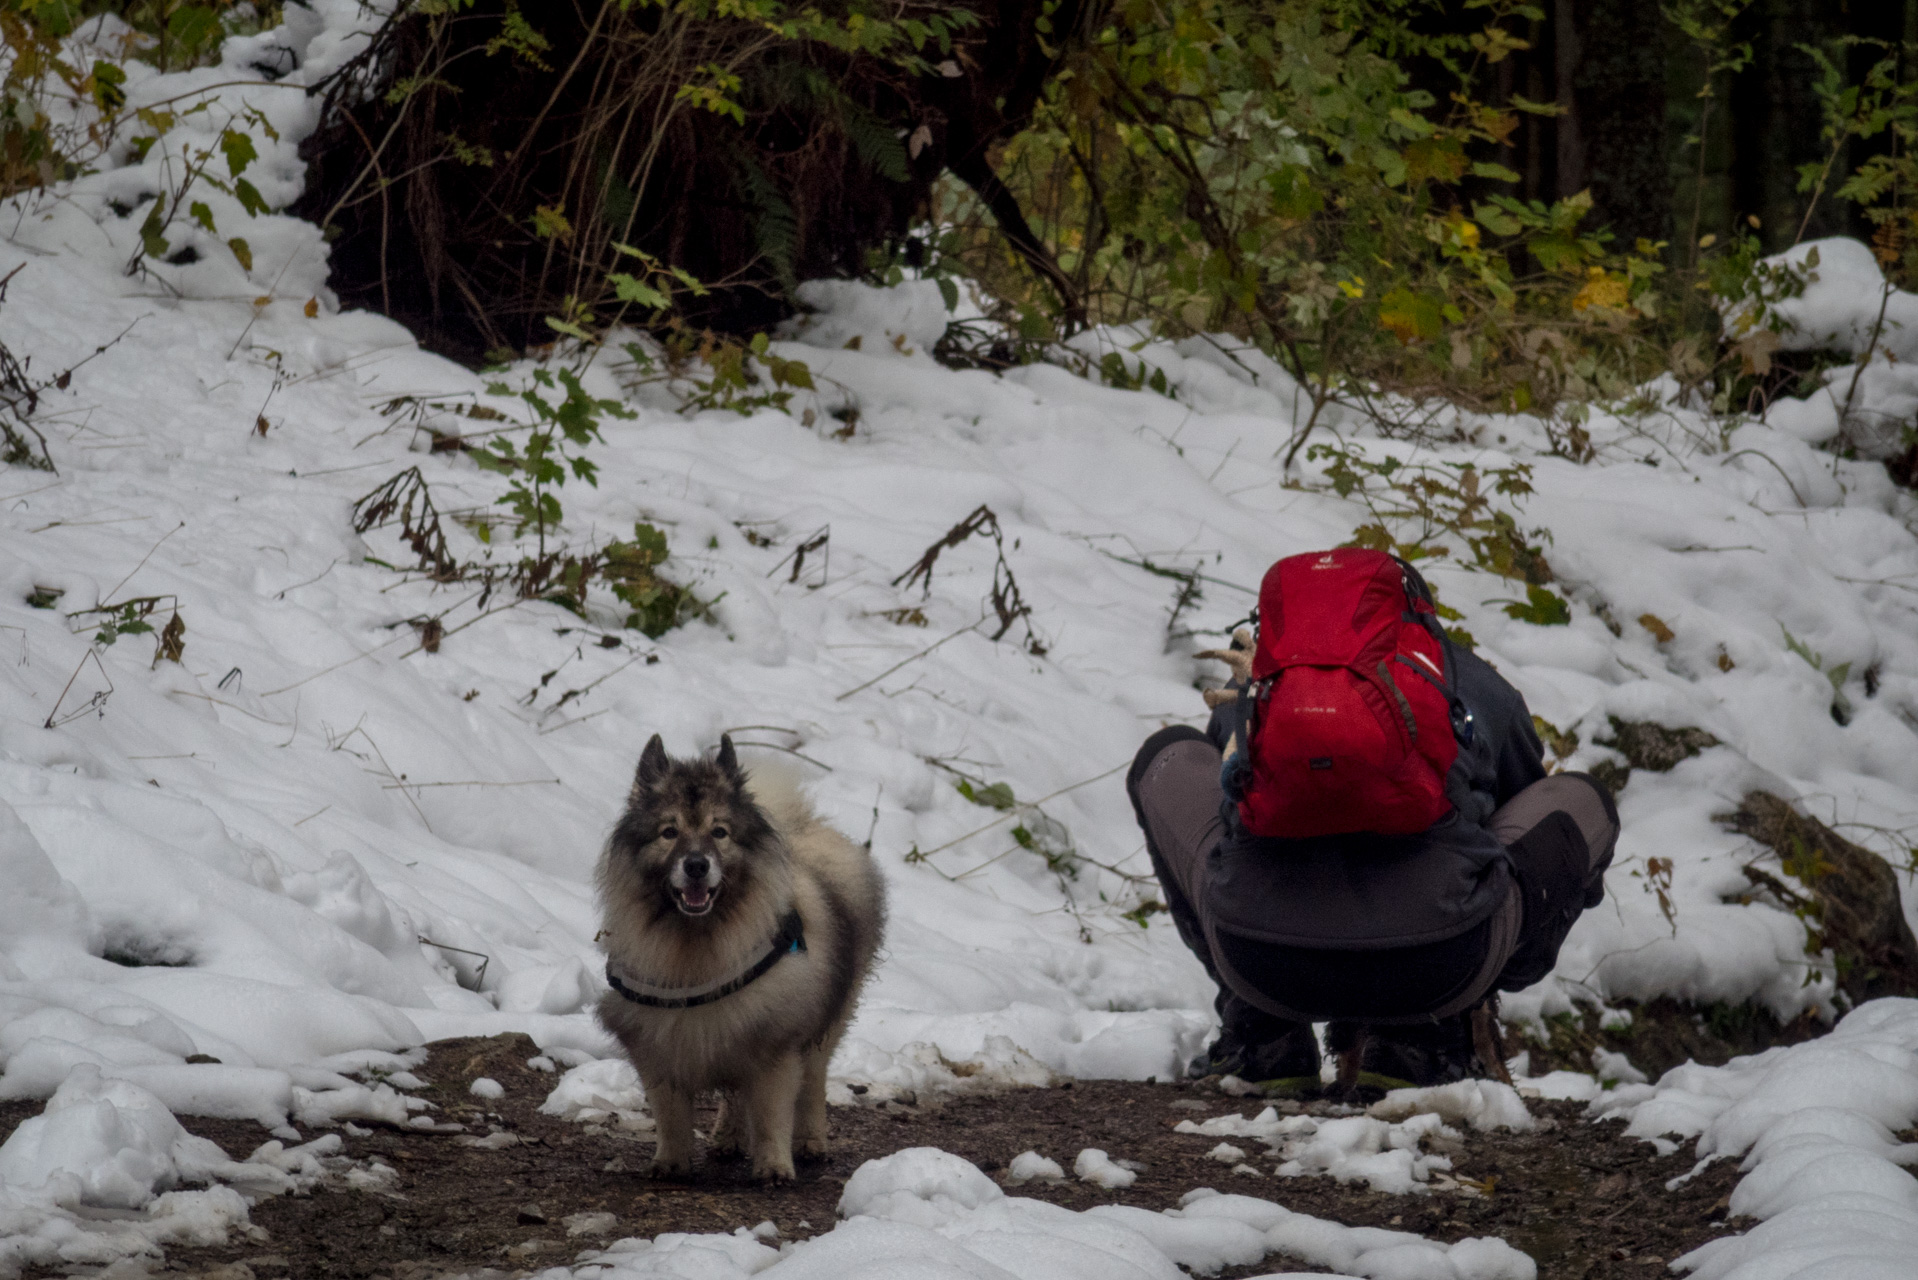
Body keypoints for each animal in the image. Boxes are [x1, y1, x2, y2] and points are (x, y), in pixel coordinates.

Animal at [594, 736, 886, 1189]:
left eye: (720, 832)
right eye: (669, 832)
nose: (697, 864)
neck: (696, 941)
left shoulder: (775, 1046)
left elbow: (771, 1115)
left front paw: (775, 1167)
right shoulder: (660, 1045)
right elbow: (671, 1117)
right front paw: (671, 1163)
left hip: (828, 1023)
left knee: (813, 1083)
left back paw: (810, 1142)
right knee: (734, 1096)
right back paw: (727, 1139)